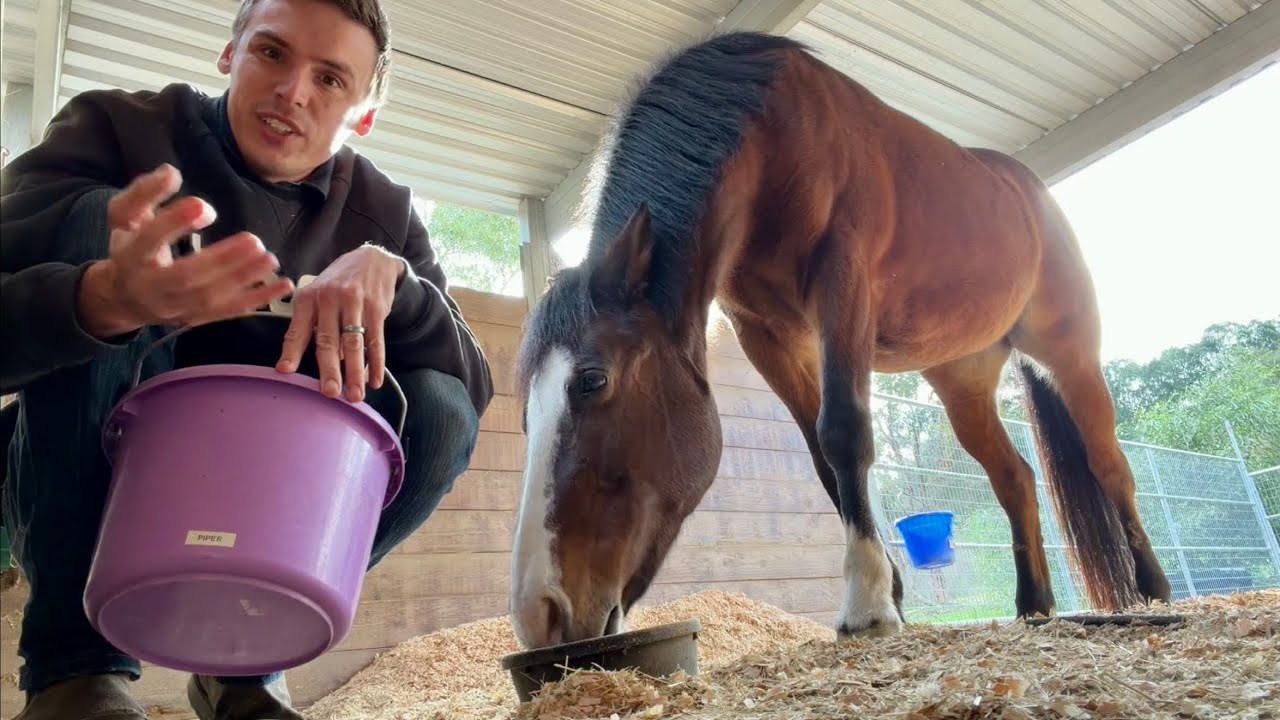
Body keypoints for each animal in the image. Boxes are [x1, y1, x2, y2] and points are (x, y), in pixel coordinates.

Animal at [506, 31, 1173, 650]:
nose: (538, 615)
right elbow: (824, 462)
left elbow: (845, 432)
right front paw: (893, 594)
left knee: (1108, 463)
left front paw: (869, 605)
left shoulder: (842, 286)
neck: (774, 140)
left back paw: (1152, 591)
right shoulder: (767, 334)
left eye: (593, 380)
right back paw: (1033, 606)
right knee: (1015, 480)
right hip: (964, 381)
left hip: (1070, 352)